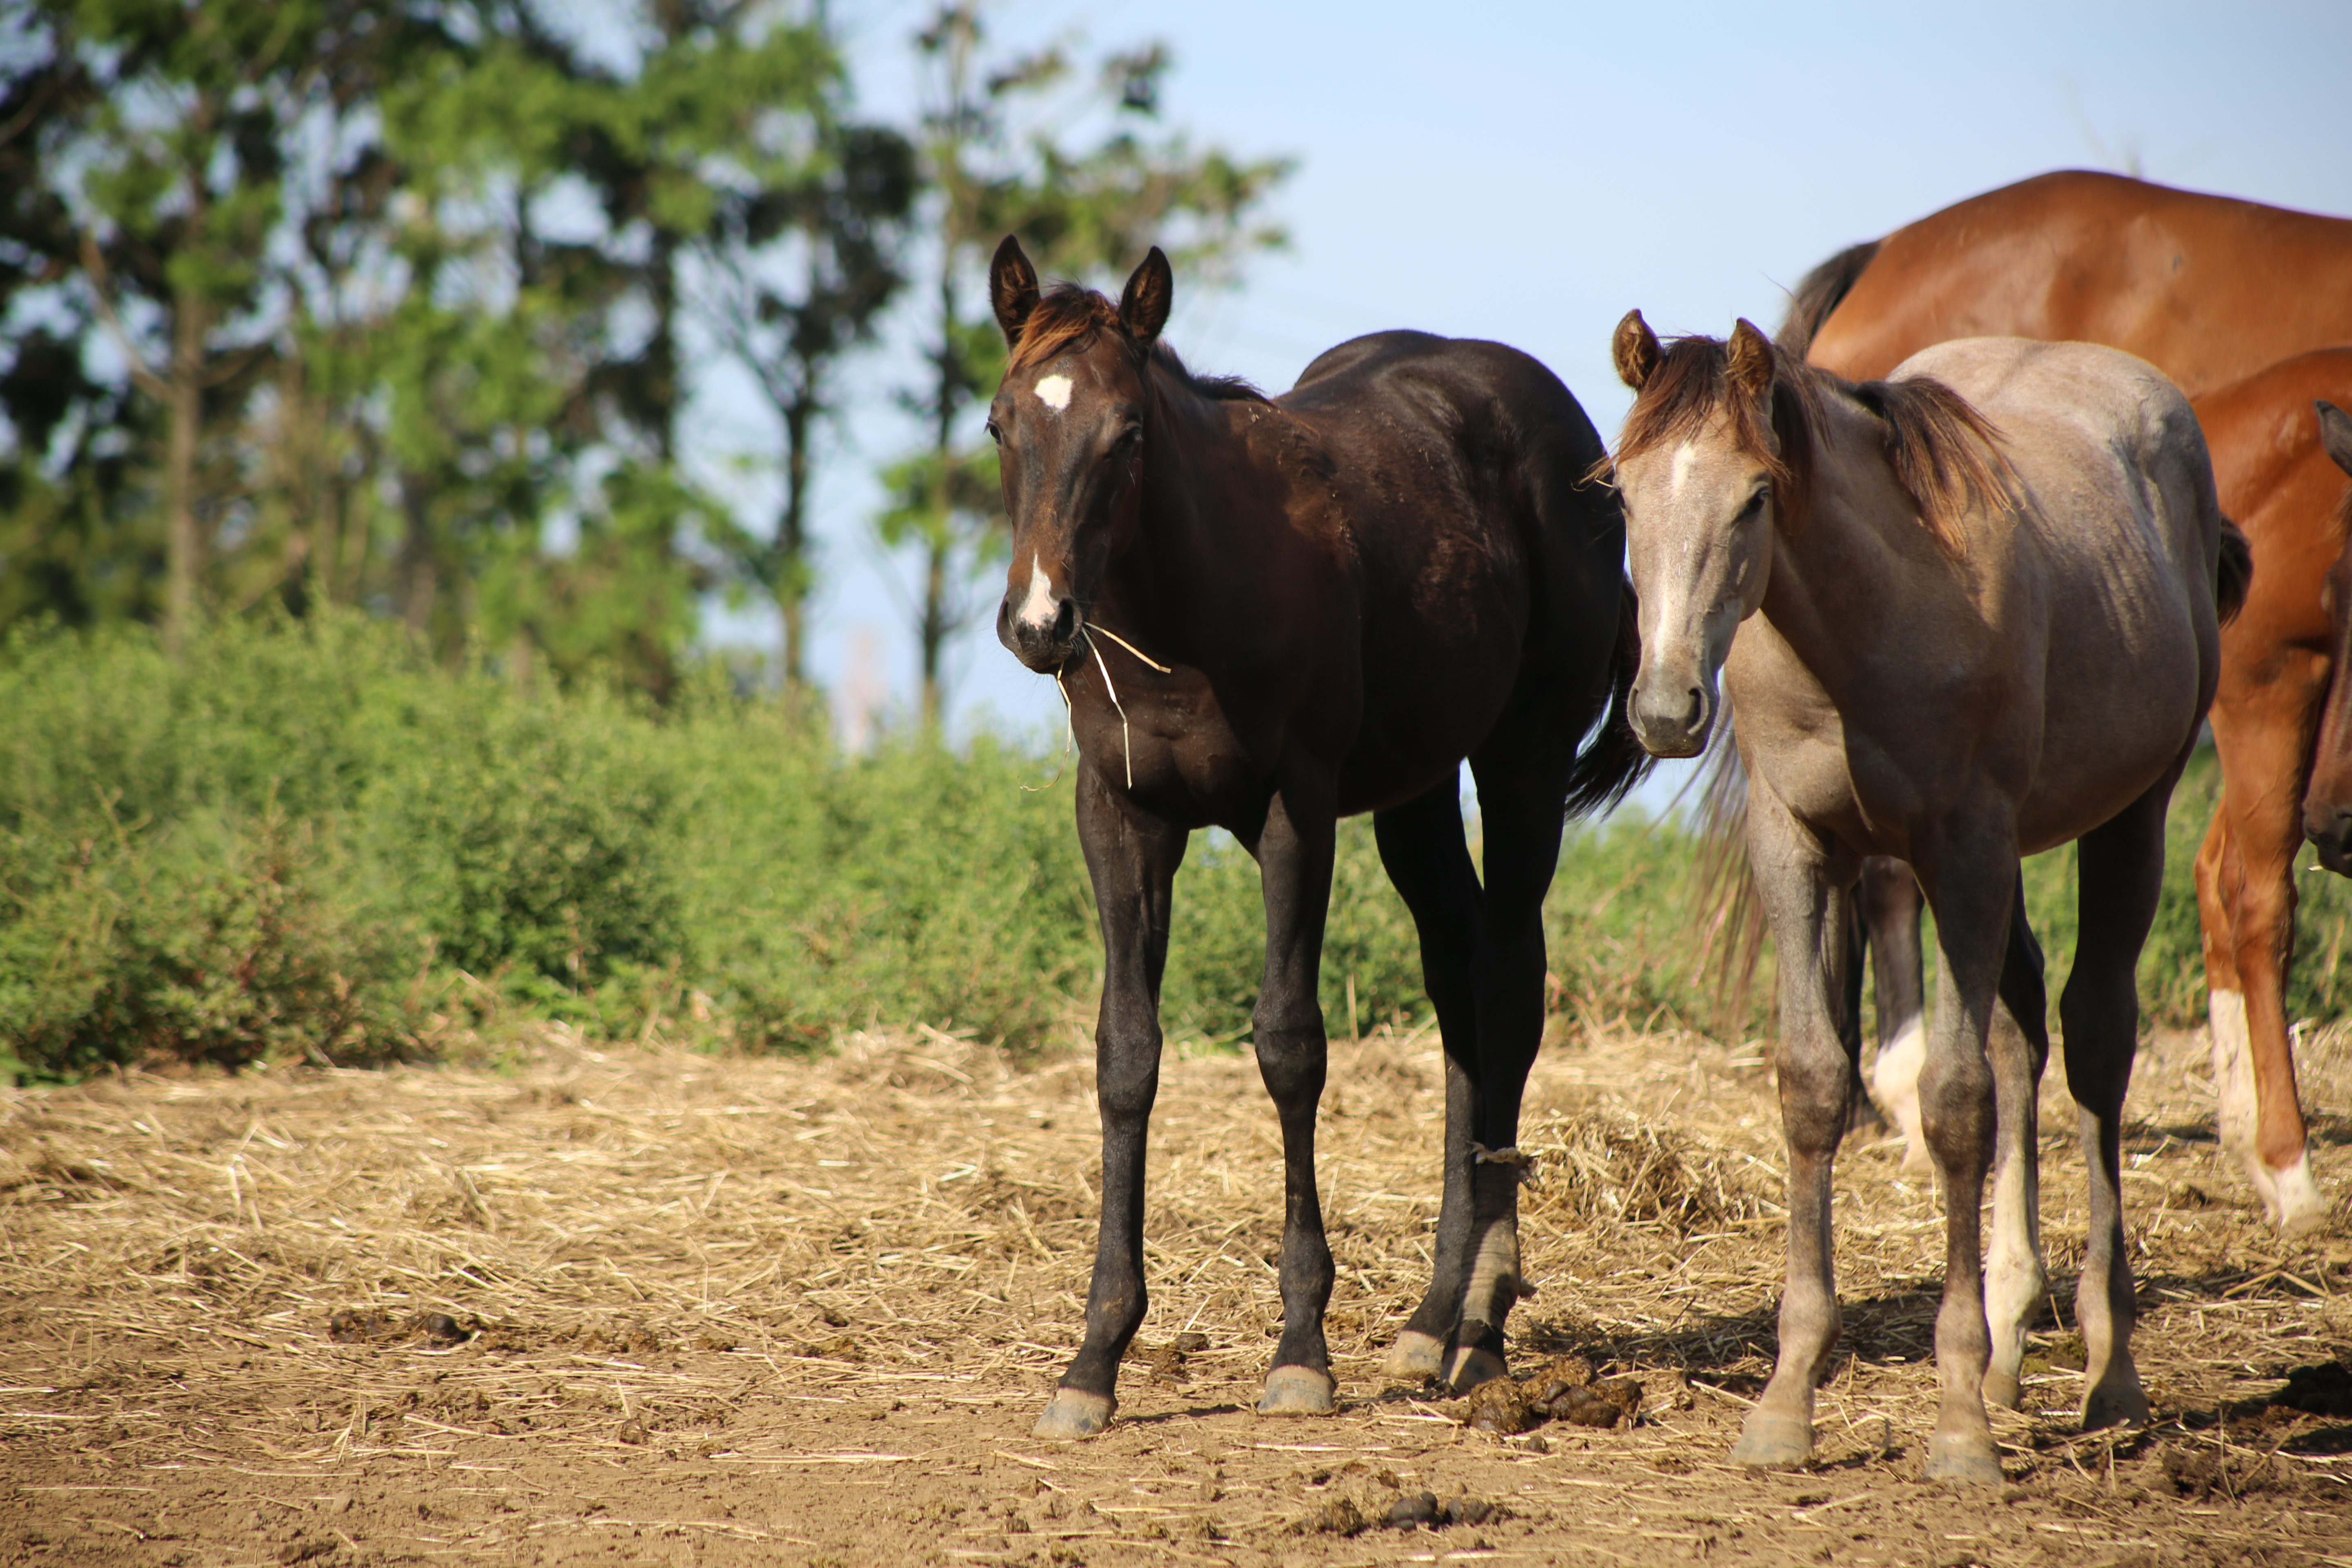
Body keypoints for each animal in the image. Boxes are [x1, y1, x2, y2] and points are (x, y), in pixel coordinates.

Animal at [983, 240, 1646, 1439]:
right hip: (1415, 793)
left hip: (1519, 763)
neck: (1187, 606)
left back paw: (1481, 1319)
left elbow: (1290, 1046)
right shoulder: (1120, 816)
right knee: (1460, 988)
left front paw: (1300, 1346)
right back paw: (1435, 1317)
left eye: (1129, 432)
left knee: (1509, 987)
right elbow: (1125, 1056)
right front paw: (1094, 1357)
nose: (1039, 623)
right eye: (1000, 423)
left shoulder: (1294, 807)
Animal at [1618, 319, 2239, 1486]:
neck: (1863, 631)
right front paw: (1786, 1400)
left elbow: (1954, 1107)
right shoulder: (1798, 846)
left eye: (1755, 497)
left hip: (2129, 811)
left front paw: (1955, 1423)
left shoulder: (1965, 846)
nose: (1666, 707)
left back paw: (2106, 1371)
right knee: (2019, 1033)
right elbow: (1815, 1085)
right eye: (1622, 494)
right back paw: (2007, 1342)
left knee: (2092, 1046)